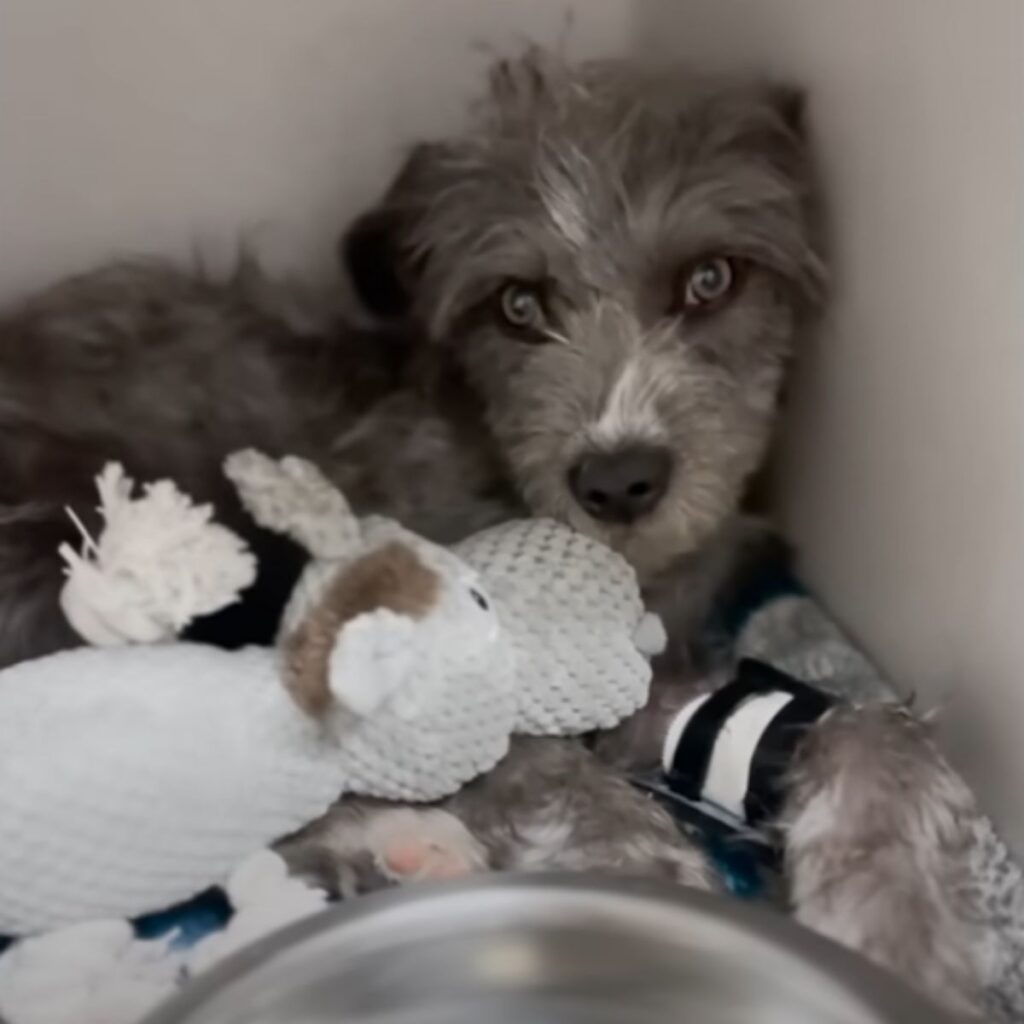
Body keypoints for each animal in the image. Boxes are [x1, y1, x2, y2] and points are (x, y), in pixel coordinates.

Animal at [0, 49, 978, 1015]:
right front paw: (646, 886)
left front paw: (898, 925)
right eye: (517, 305)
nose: (618, 482)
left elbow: (867, 723)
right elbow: (552, 780)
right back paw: (393, 843)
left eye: (711, 280)